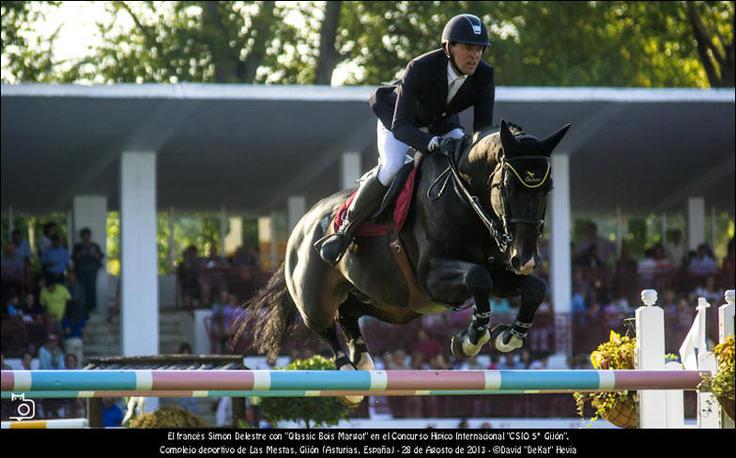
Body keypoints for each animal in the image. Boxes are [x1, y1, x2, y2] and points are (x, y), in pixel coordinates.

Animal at [234, 120, 568, 402]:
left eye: (548, 188)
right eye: (508, 187)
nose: (526, 258)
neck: (465, 200)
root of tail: (299, 225)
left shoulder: (498, 271)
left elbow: (534, 288)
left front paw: (508, 336)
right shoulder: (433, 277)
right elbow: (477, 278)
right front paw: (470, 338)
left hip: (386, 304)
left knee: (348, 314)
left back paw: (363, 360)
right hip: (316, 296)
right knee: (323, 323)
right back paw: (347, 372)